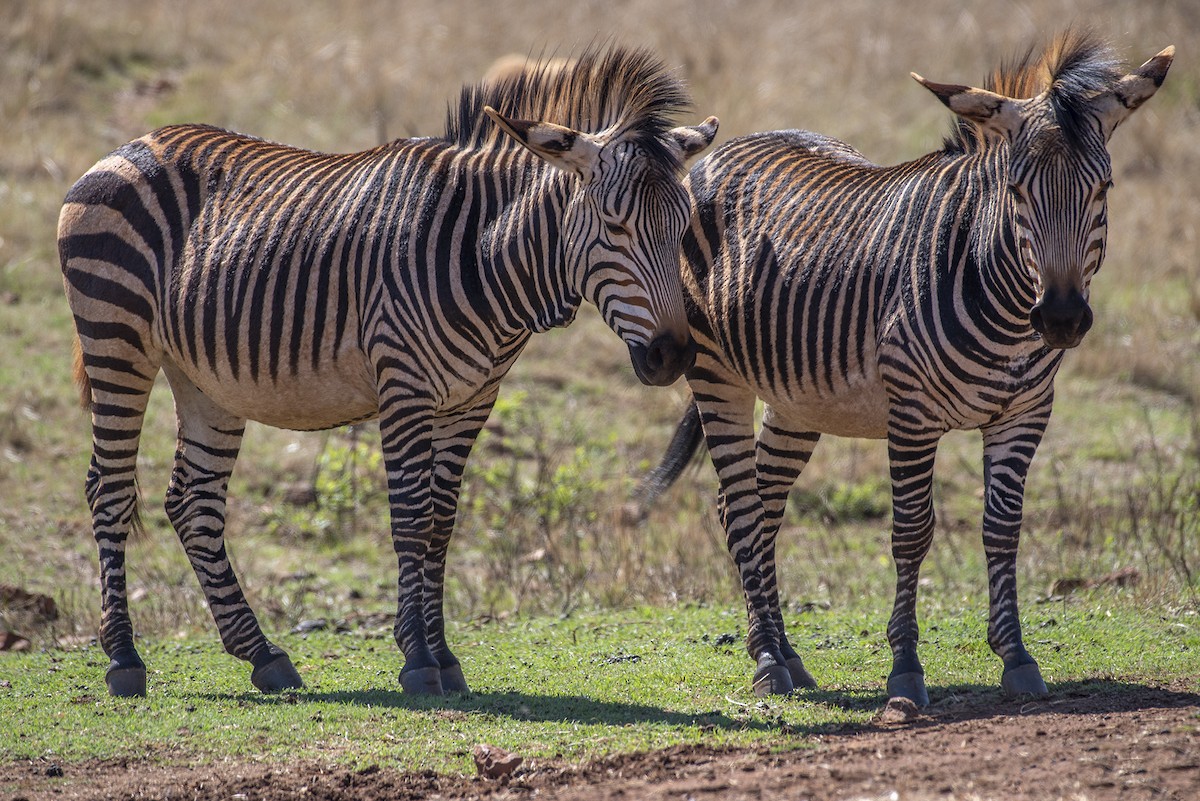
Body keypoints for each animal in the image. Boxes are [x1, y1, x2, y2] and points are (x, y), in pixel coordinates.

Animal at [60, 45, 717, 698]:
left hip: (202, 377)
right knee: (109, 489)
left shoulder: (471, 400)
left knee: (193, 501)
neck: (483, 253)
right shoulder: (404, 386)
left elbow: (442, 523)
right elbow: (411, 517)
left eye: (684, 227)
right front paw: (420, 660)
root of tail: (131, 142)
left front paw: (444, 656)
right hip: (117, 337)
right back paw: (124, 659)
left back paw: (263, 654)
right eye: (615, 226)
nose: (672, 357)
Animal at [639, 32, 1172, 703]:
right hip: (717, 375)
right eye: (1018, 192)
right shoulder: (913, 414)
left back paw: (788, 653)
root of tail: (723, 150)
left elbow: (1003, 528)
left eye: (1104, 189)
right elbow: (912, 532)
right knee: (740, 508)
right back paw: (766, 660)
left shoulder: (1025, 413)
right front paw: (906, 668)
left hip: (796, 398)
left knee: (760, 508)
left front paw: (1016, 656)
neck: (1003, 306)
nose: (1062, 319)